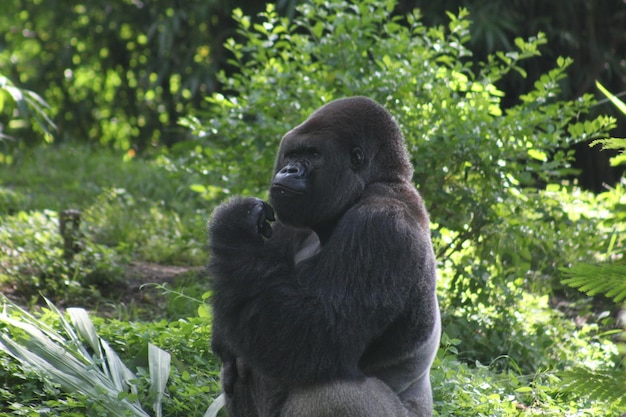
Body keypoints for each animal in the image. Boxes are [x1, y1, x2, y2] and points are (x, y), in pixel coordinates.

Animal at [208, 96, 438, 414]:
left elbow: (319, 330)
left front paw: (235, 227)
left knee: (332, 389)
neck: (377, 182)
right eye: (292, 154)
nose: (289, 170)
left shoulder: (380, 226)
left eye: (314, 154)